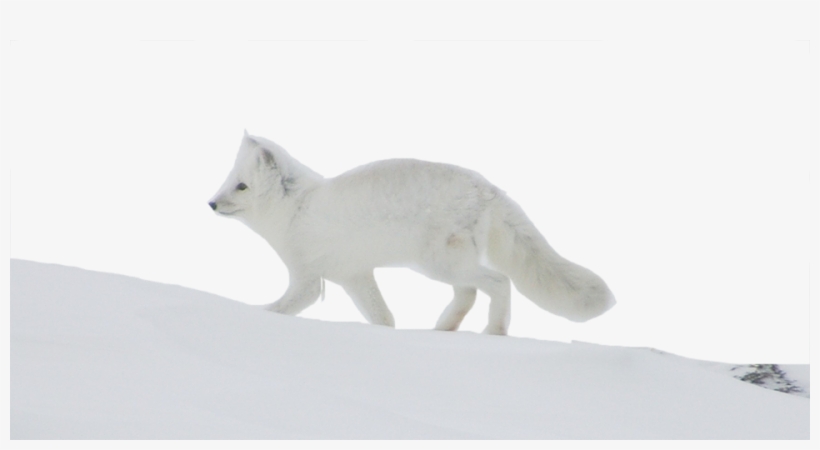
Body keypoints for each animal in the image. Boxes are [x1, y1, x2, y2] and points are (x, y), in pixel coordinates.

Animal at [209, 131, 615, 335]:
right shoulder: (354, 276)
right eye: (229, 181)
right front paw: (387, 334)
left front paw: (256, 313)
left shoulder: (307, 278)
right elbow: (383, 317)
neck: (296, 208)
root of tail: (487, 187)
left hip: (441, 263)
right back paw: (442, 329)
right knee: (468, 293)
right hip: (443, 266)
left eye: (241, 187)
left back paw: (494, 332)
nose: (210, 204)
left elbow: (285, 307)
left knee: (499, 283)